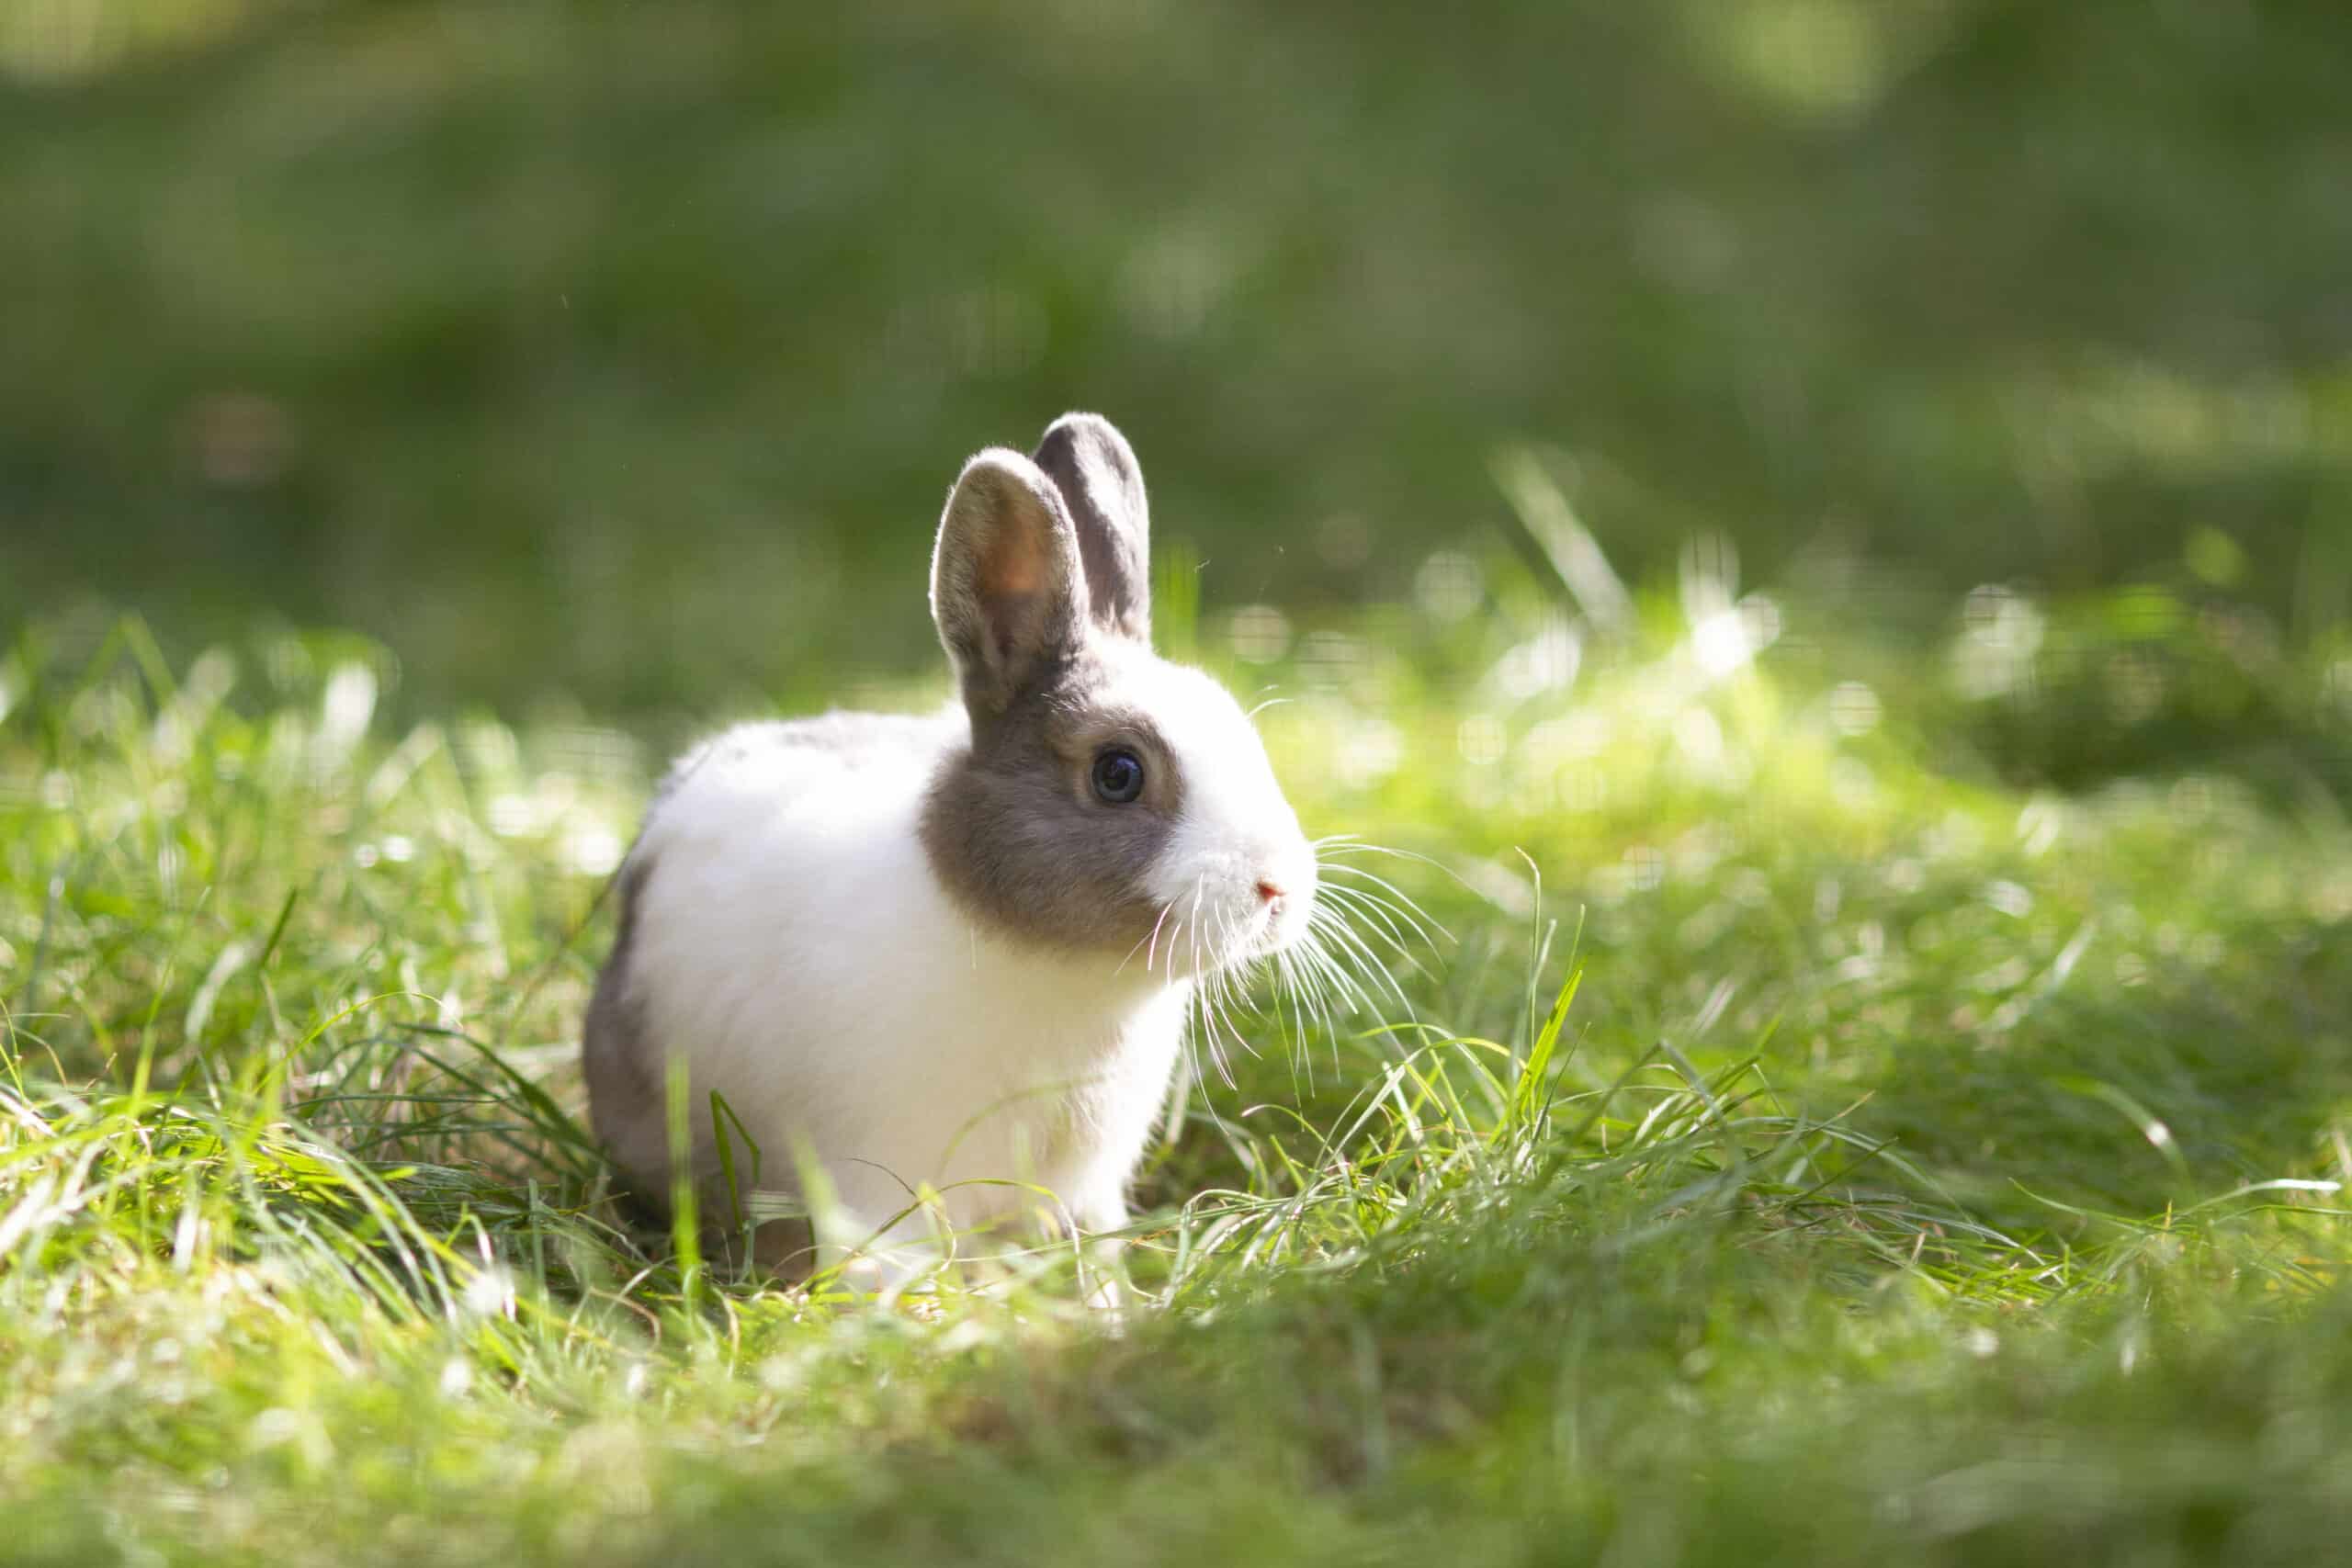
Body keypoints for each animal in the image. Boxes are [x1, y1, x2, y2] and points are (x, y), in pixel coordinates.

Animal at [582, 411, 1326, 1297]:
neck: (1068, 976)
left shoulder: (1083, 1190)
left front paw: (1109, 1304)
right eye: (1118, 773)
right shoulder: (883, 1177)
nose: (1277, 887)